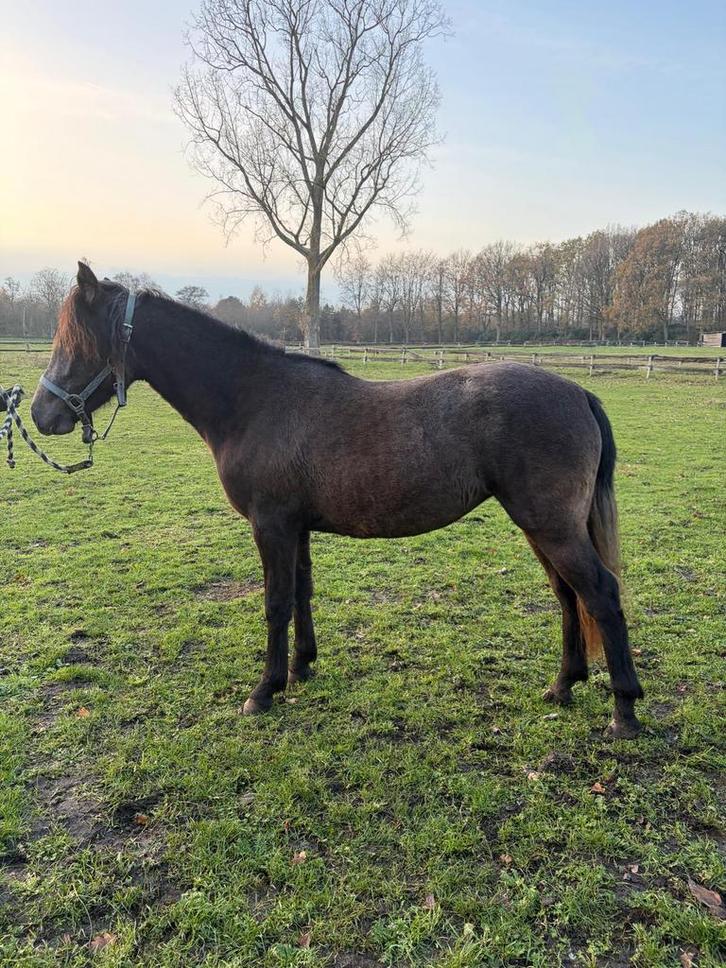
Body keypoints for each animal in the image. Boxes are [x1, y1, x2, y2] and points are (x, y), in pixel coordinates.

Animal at [31, 263, 643, 737]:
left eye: (76, 342)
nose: (41, 414)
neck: (253, 400)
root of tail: (578, 392)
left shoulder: (271, 525)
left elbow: (276, 602)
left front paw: (264, 691)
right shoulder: (296, 527)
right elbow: (302, 594)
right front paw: (301, 668)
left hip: (552, 527)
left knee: (600, 594)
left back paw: (624, 710)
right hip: (542, 528)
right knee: (568, 598)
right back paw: (562, 686)